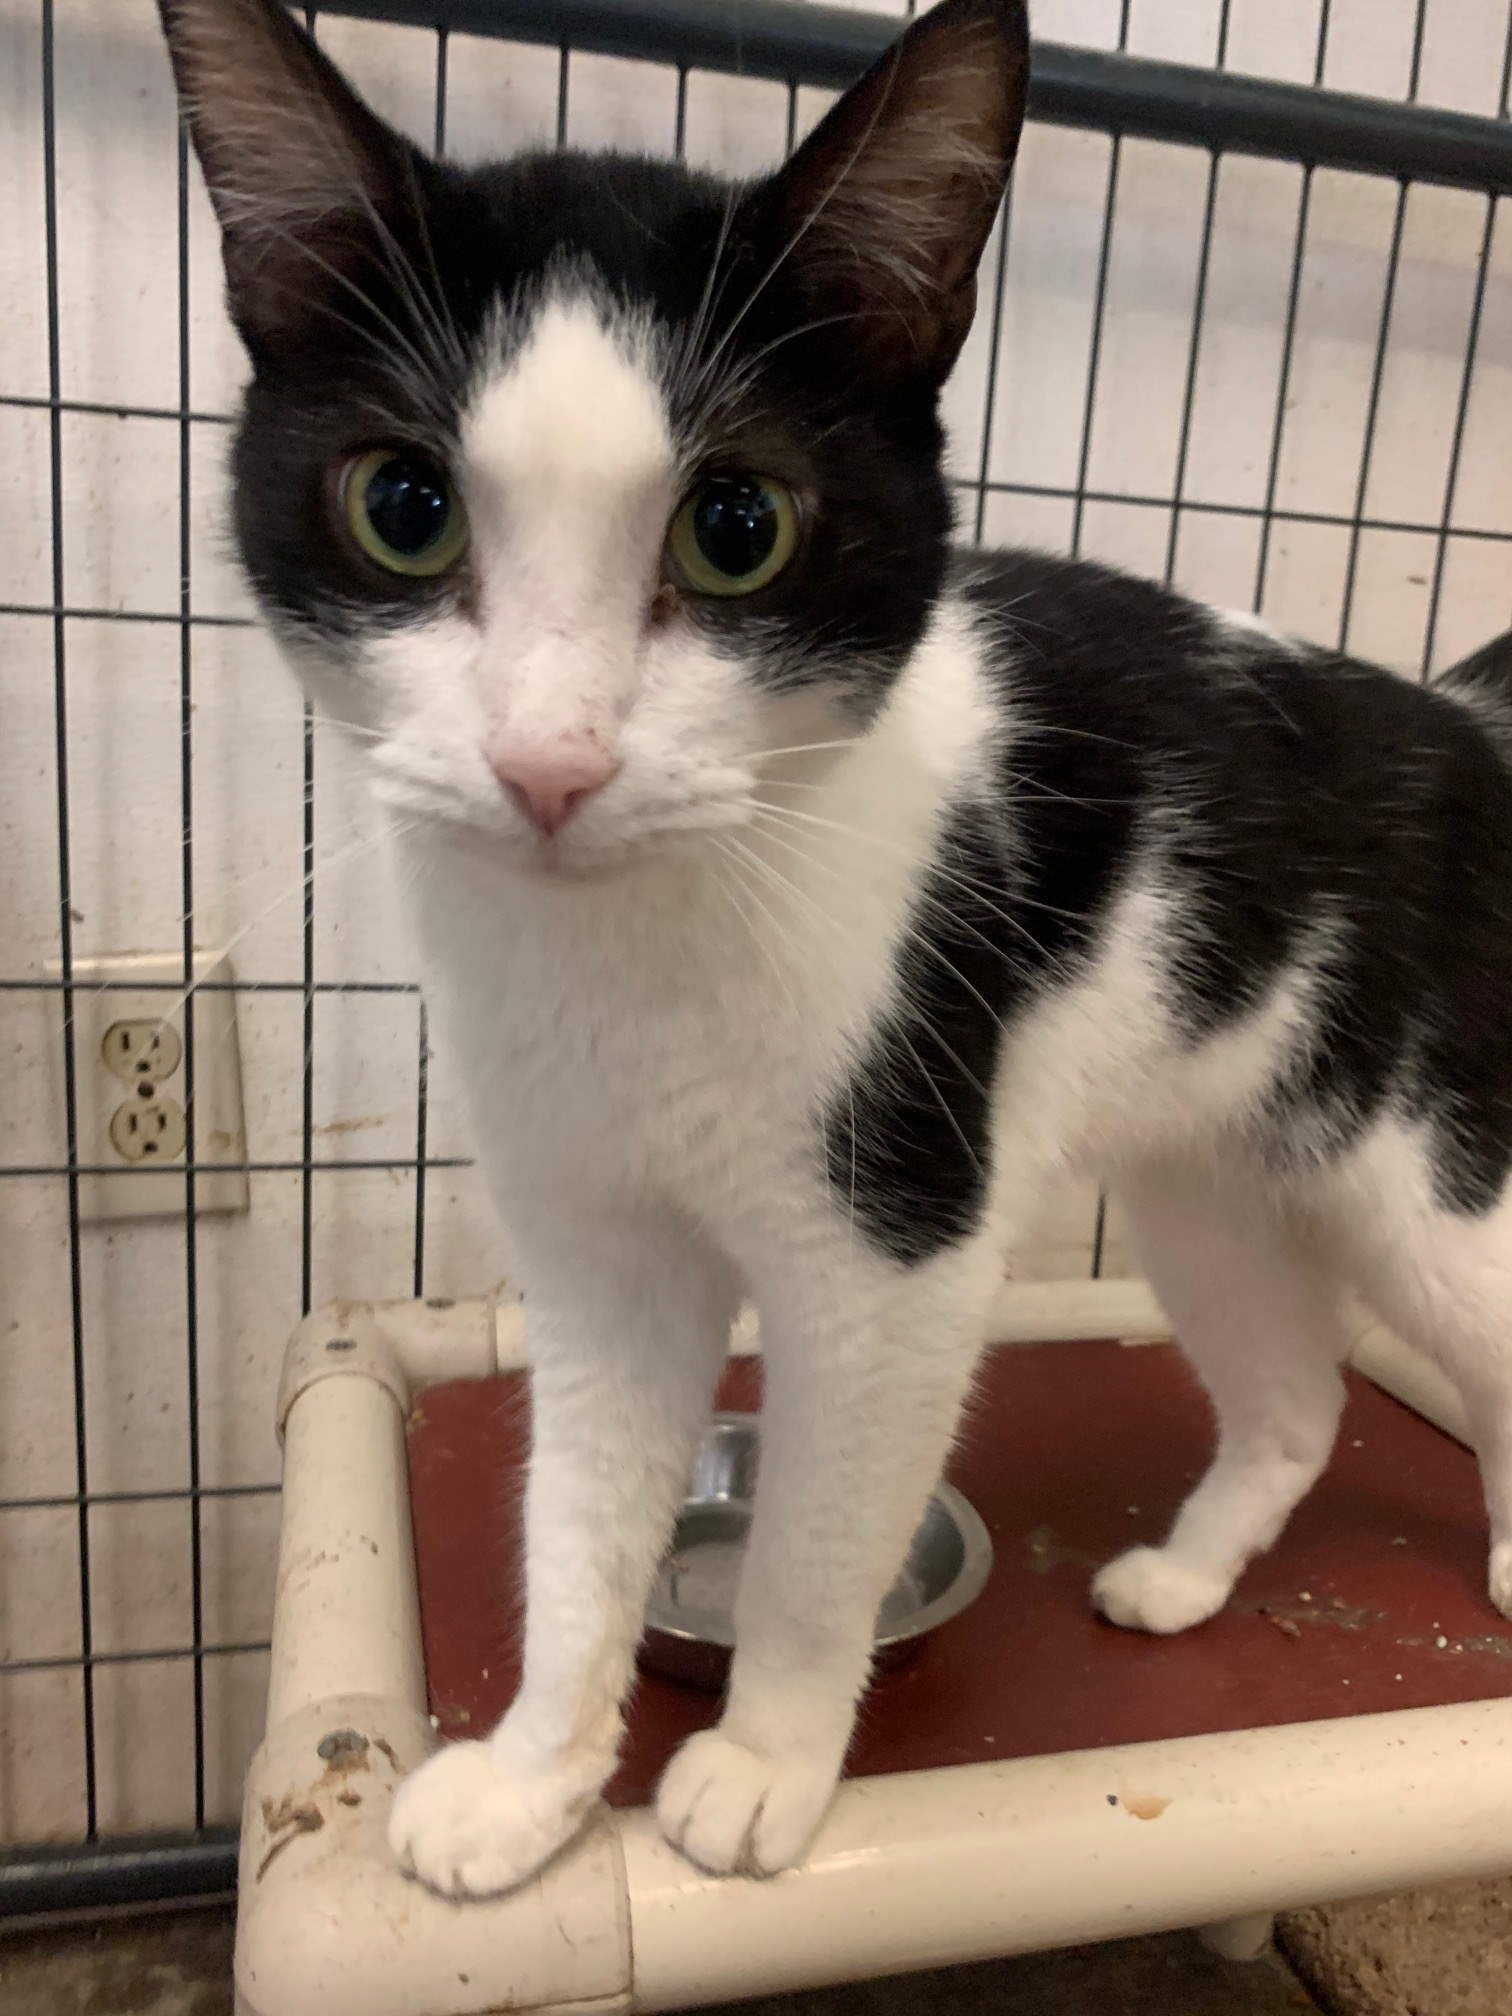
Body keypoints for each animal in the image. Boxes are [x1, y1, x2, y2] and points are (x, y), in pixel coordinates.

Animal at [157, 0, 1512, 1895]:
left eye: (738, 529)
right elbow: (577, 1510)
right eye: (402, 506)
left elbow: (816, 1530)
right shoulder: (595, 1246)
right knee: (1298, 1387)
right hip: (1206, 1168)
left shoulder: (901, 1248)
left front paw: (763, 1760)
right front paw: (535, 1778)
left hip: (1422, 1168)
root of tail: (1456, 718)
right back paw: (1186, 1571)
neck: (639, 949)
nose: (549, 763)